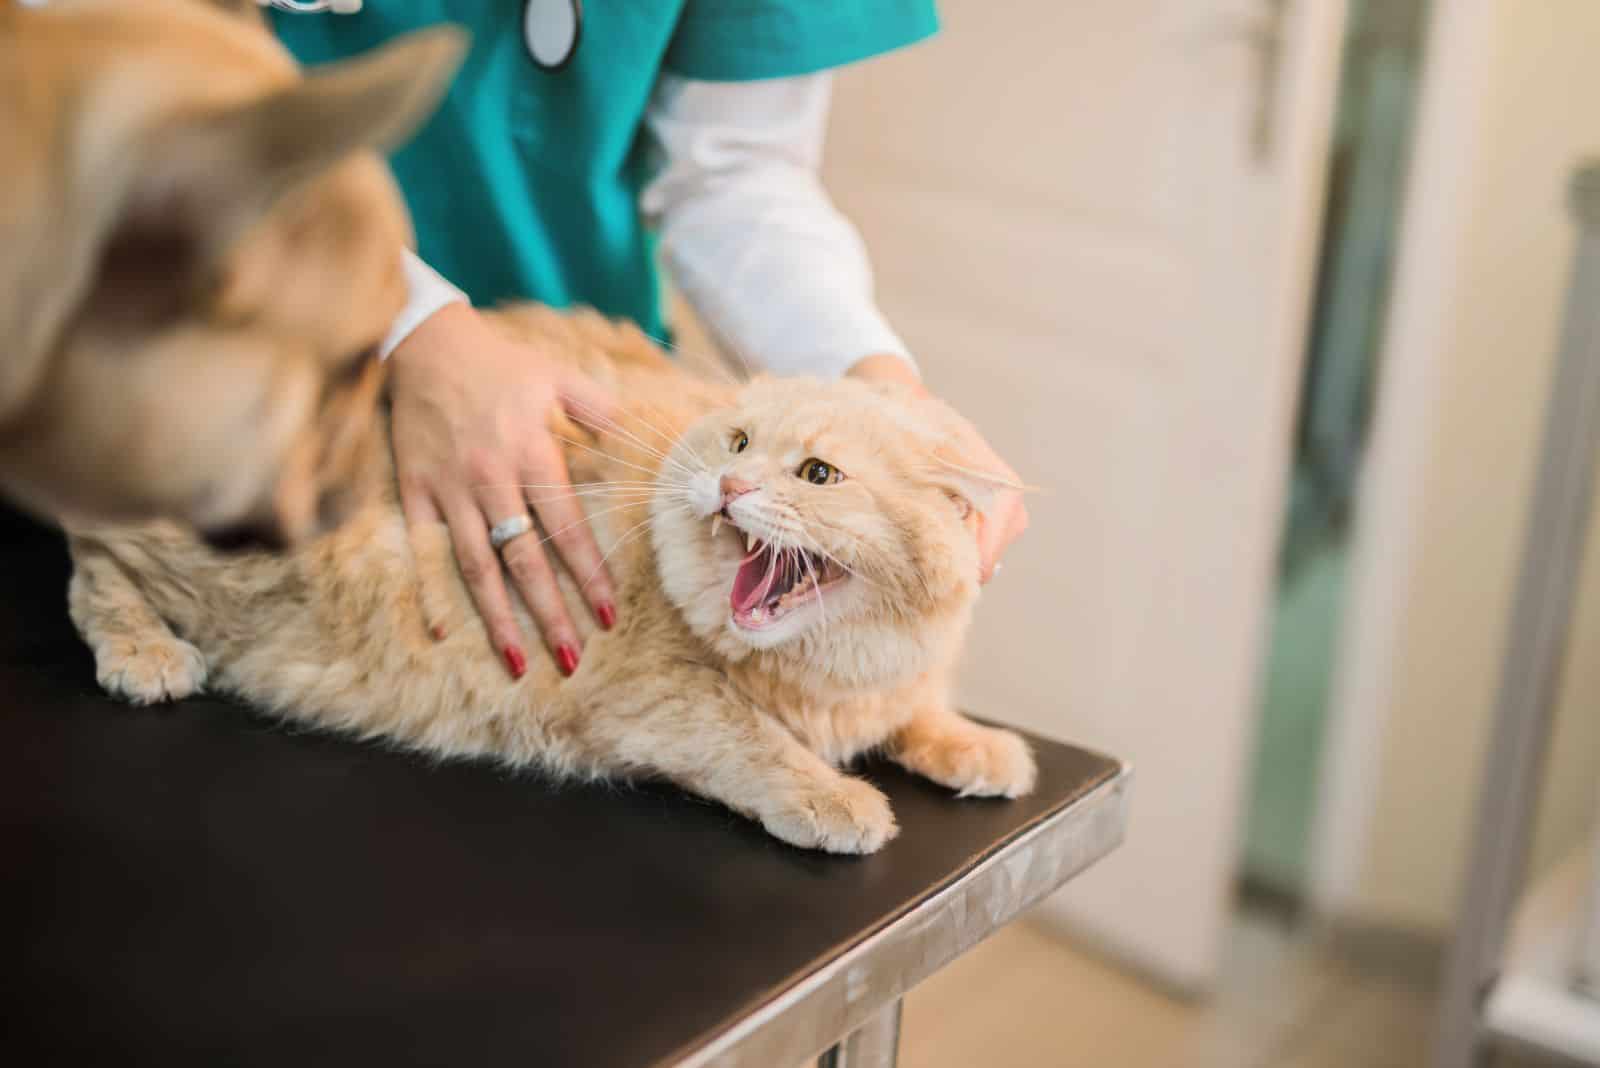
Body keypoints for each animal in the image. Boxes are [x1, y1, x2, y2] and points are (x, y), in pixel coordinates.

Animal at [65, 303, 1036, 856]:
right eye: (739, 443)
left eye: (819, 475)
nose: (730, 486)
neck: (823, 680)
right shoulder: (651, 698)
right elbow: (756, 744)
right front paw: (835, 797)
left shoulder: (886, 685)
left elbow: (920, 710)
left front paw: (978, 745)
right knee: (90, 558)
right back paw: (146, 655)